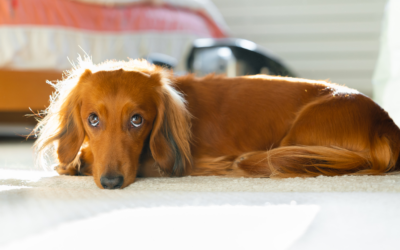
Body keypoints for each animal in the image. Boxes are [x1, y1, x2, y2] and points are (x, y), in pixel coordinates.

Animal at [32, 58, 400, 189]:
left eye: (138, 120)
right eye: (92, 119)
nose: (110, 182)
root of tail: (386, 127)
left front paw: (80, 162)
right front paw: (76, 158)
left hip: (299, 135)